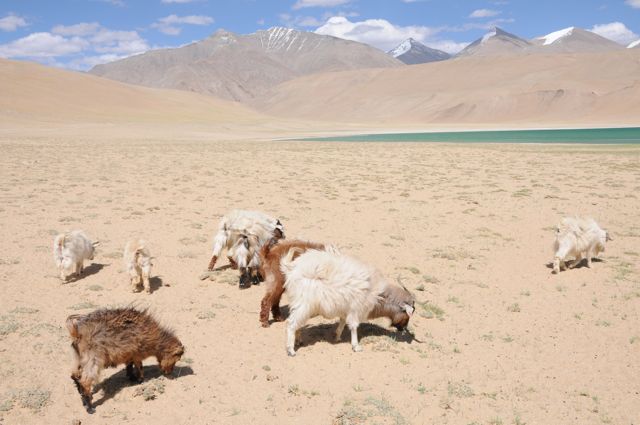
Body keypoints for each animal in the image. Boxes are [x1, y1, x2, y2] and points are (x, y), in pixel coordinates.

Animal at [282, 247, 416, 356]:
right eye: (408, 314)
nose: (403, 329)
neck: (378, 294)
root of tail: (291, 269)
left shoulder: (345, 309)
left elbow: (342, 322)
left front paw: (337, 337)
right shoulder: (356, 308)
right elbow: (354, 326)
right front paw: (356, 346)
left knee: (298, 323)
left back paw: (299, 341)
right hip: (303, 304)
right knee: (291, 323)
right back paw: (290, 350)